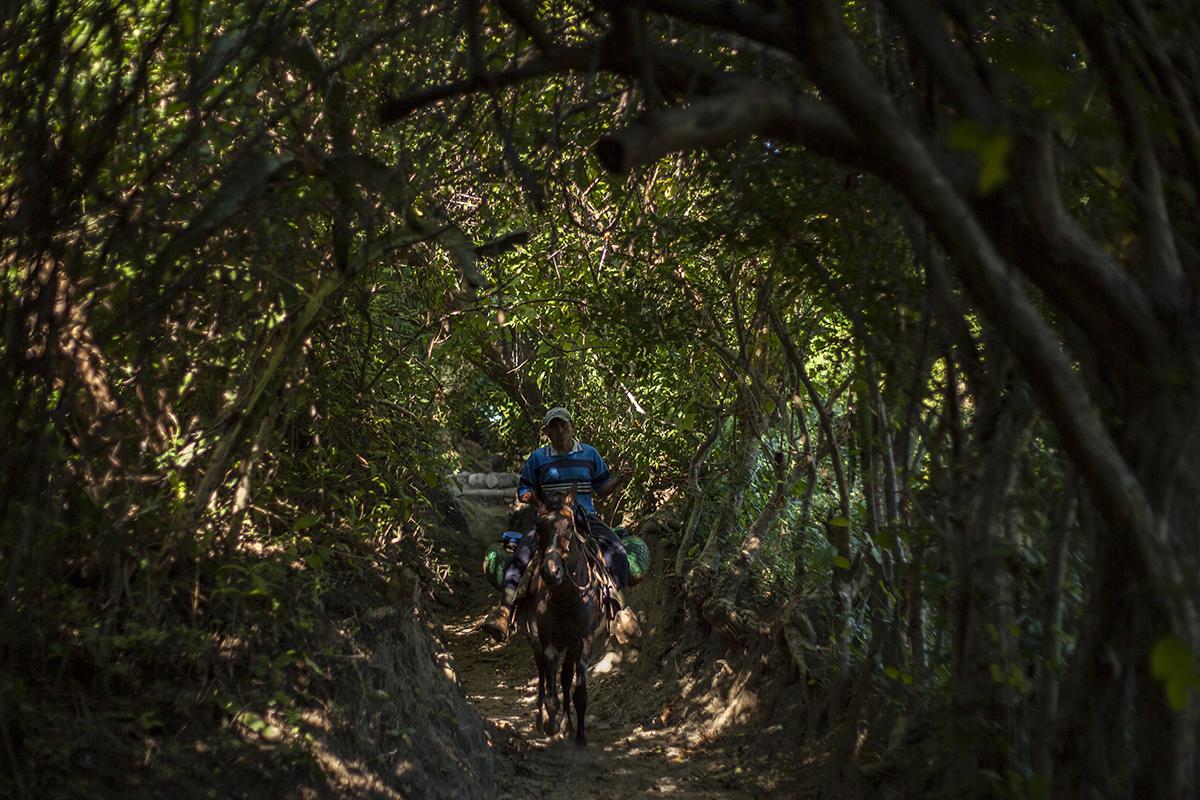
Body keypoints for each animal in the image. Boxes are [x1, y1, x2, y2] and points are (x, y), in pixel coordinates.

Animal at [513, 484, 609, 748]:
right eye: (538, 526)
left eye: (569, 526)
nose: (551, 571)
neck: (567, 598)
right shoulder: (549, 641)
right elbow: (550, 692)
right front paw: (550, 724)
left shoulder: (584, 641)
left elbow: (579, 692)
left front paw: (579, 736)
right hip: (535, 638)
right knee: (543, 673)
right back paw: (543, 718)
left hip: (571, 644)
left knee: (565, 677)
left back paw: (568, 724)